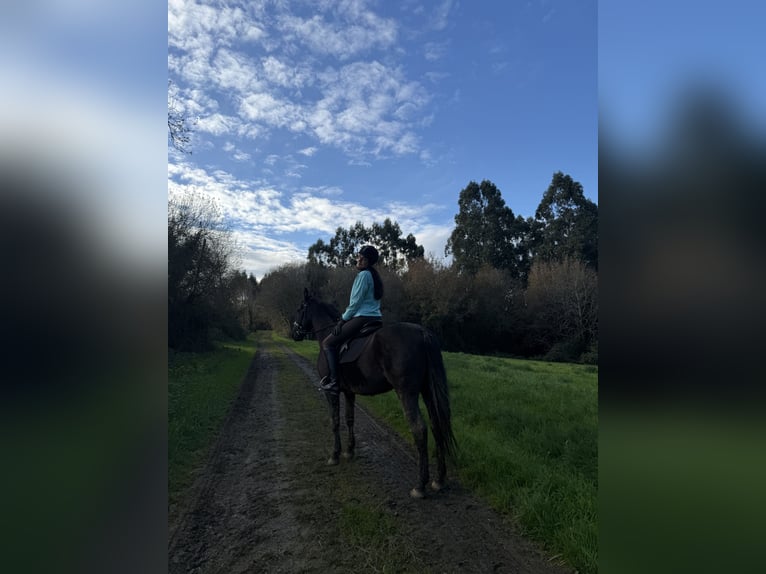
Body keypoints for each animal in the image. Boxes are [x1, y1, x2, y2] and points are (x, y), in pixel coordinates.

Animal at [291, 288, 457, 498]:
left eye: (299, 309)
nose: (294, 333)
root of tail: (422, 332)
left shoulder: (332, 393)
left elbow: (335, 421)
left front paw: (335, 455)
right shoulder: (349, 392)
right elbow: (349, 419)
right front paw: (349, 451)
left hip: (407, 393)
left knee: (420, 429)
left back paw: (420, 485)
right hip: (427, 391)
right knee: (436, 426)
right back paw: (439, 479)